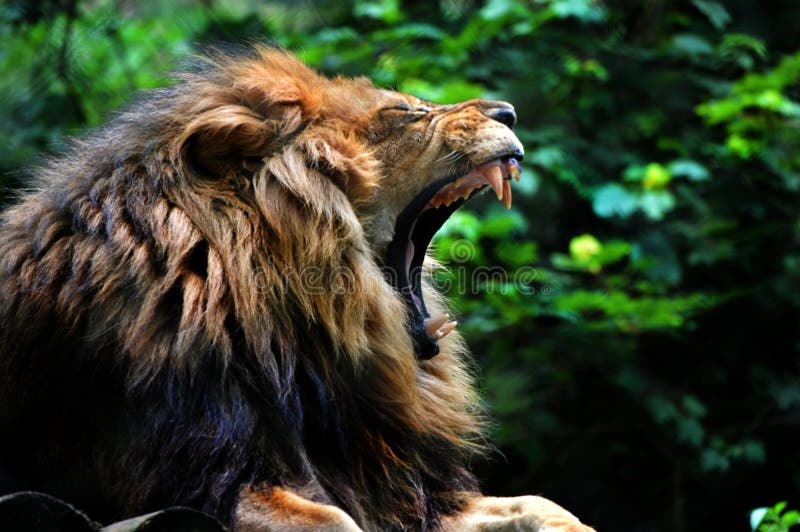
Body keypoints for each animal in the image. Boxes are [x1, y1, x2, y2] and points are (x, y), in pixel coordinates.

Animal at [0, 46, 592, 532]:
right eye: (404, 113)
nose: (509, 113)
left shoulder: (400, 486)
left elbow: (541, 504)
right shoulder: (196, 483)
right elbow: (335, 520)